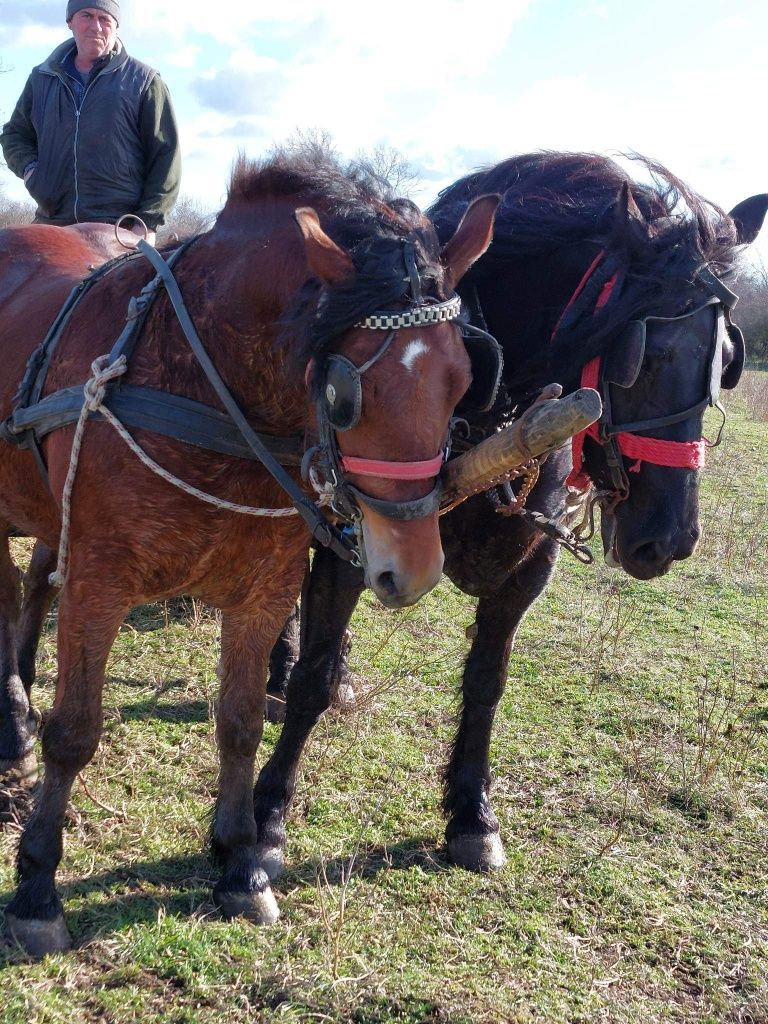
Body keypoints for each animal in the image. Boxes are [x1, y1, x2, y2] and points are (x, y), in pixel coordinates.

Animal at [0, 148, 499, 954]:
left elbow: (238, 723)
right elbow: (73, 733)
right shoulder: (99, 585)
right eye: (344, 394)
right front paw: (38, 887)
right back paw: (12, 719)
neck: (206, 384)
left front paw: (239, 864)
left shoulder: (266, 588)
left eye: (464, 377)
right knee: (11, 593)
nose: (416, 568)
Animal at [249, 149, 765, 880]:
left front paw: (471, 814)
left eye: (726, 361)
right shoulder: (350, 542)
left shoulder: (525, 573)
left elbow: (487, 682)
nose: (669, 539)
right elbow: (312, 680)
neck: (479, 420)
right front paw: (266, 820)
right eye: (645, 356)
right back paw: (279, 666)